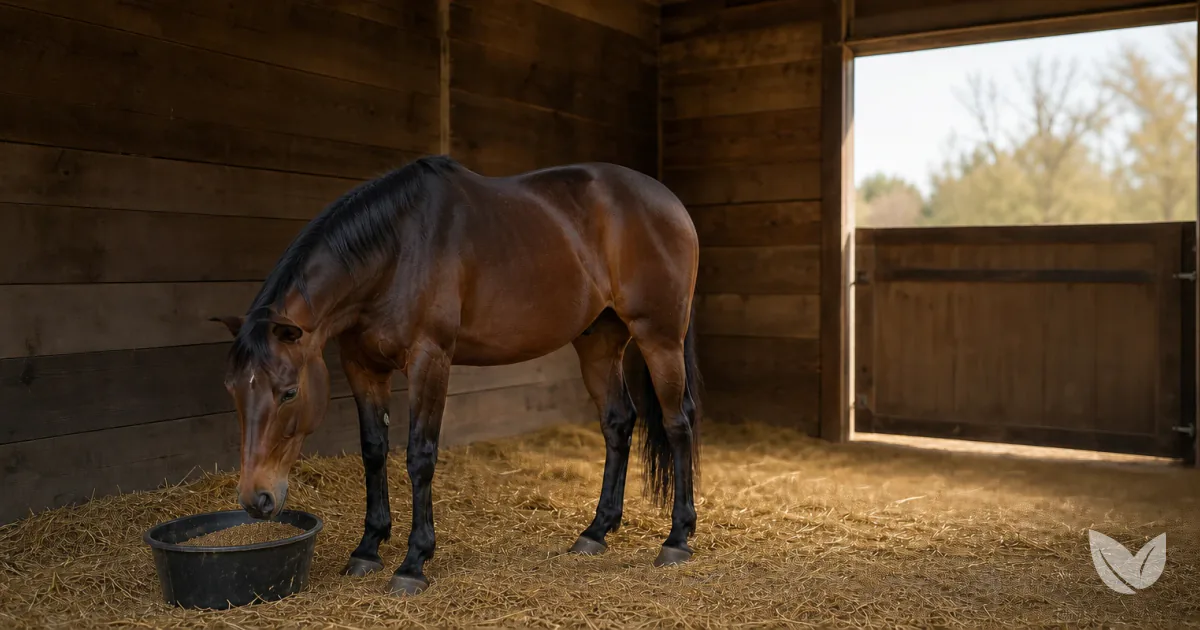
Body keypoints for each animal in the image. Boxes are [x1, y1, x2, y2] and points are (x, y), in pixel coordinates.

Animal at [209, 155, 702, 597]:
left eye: (289, 392)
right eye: (232, 390)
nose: (255, 500)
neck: (396, 251)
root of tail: (670, 203)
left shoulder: (431, 359)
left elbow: (419, 456)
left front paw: (413, 562)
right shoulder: (362, 366)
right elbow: (373, 451)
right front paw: (368, 548)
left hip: (659, 337)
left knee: (678, 424)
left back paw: (677, 539)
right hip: (599, 341)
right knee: (618, 422)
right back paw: (596, 531)